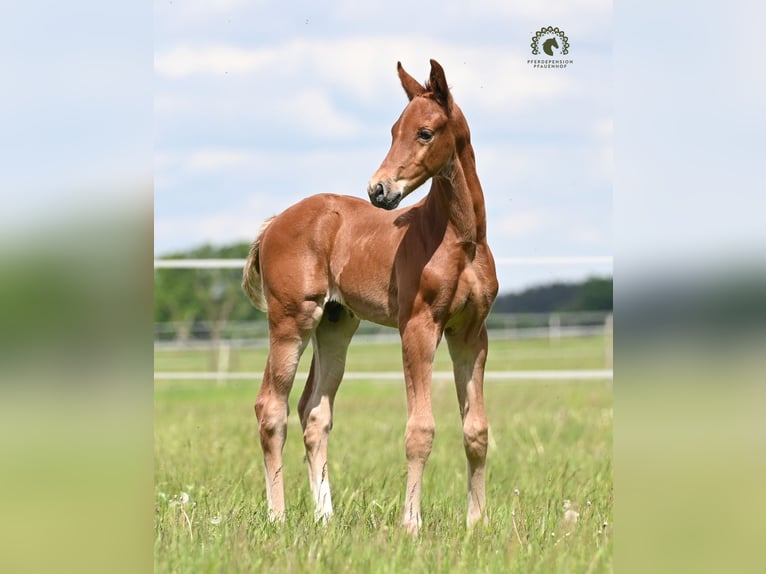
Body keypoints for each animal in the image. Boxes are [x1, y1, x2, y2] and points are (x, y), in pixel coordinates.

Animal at [242, 59, 498, 534]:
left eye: (425, 132)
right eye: (393, 130)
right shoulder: (417, 327)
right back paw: (278, 517)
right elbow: (420, 430)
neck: (460, 238)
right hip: (291, 321)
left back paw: (325, 518)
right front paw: (410, 524)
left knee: (313, 412)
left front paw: (477, 524)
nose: (378, 190)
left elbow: (476, 430)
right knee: (271, 407)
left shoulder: (471, 333)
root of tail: (274, 223)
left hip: (335, 326)